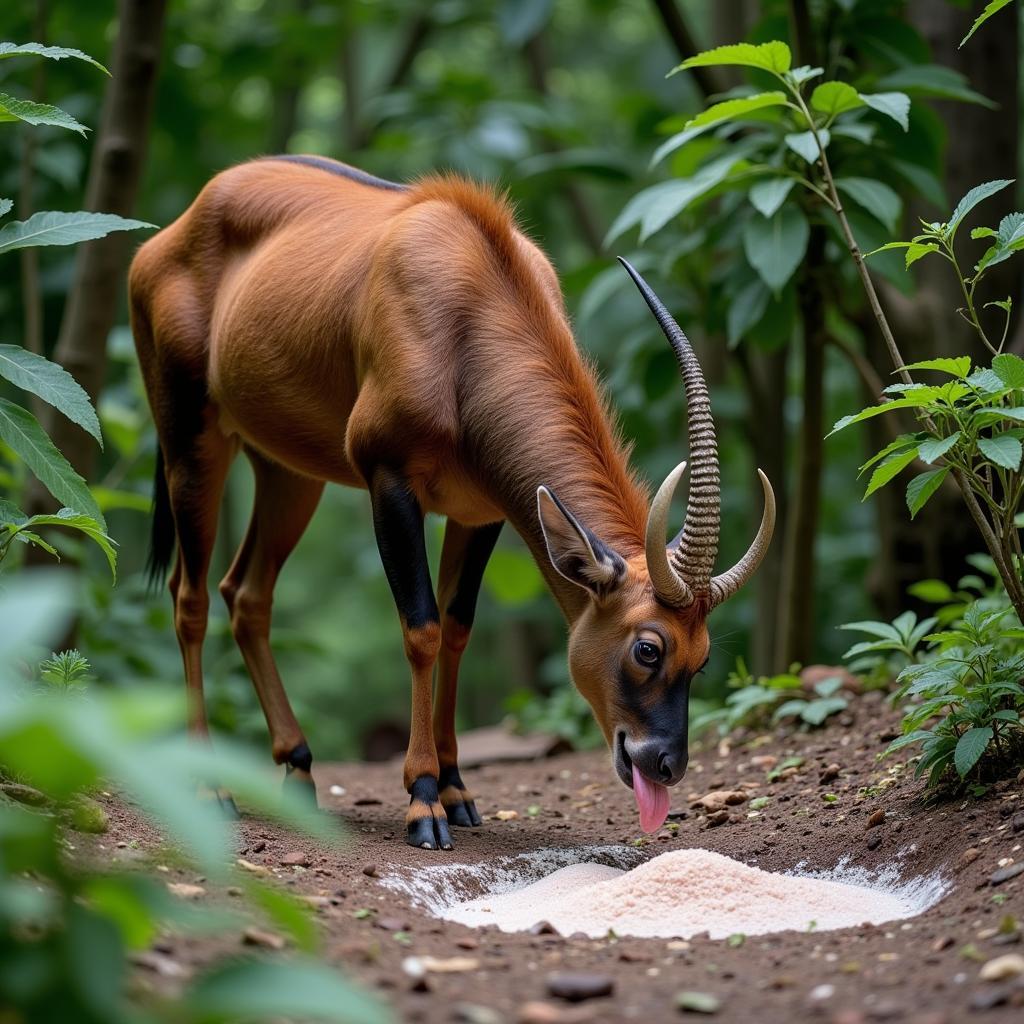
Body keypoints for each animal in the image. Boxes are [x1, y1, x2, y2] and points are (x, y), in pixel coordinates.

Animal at [130, 157, 774, 847]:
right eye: (648, 648)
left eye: (701, 659)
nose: (665, 765)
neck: (467, 315)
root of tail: (167, 237)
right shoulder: (388, 480)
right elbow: (423, 627)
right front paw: (423, 801)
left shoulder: (480, 512)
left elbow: (459, 628)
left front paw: (458, 790)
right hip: (192, 441)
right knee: (190, 597)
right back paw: (207, 787)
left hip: (287, 472)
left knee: (247, 593)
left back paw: (298, 768)